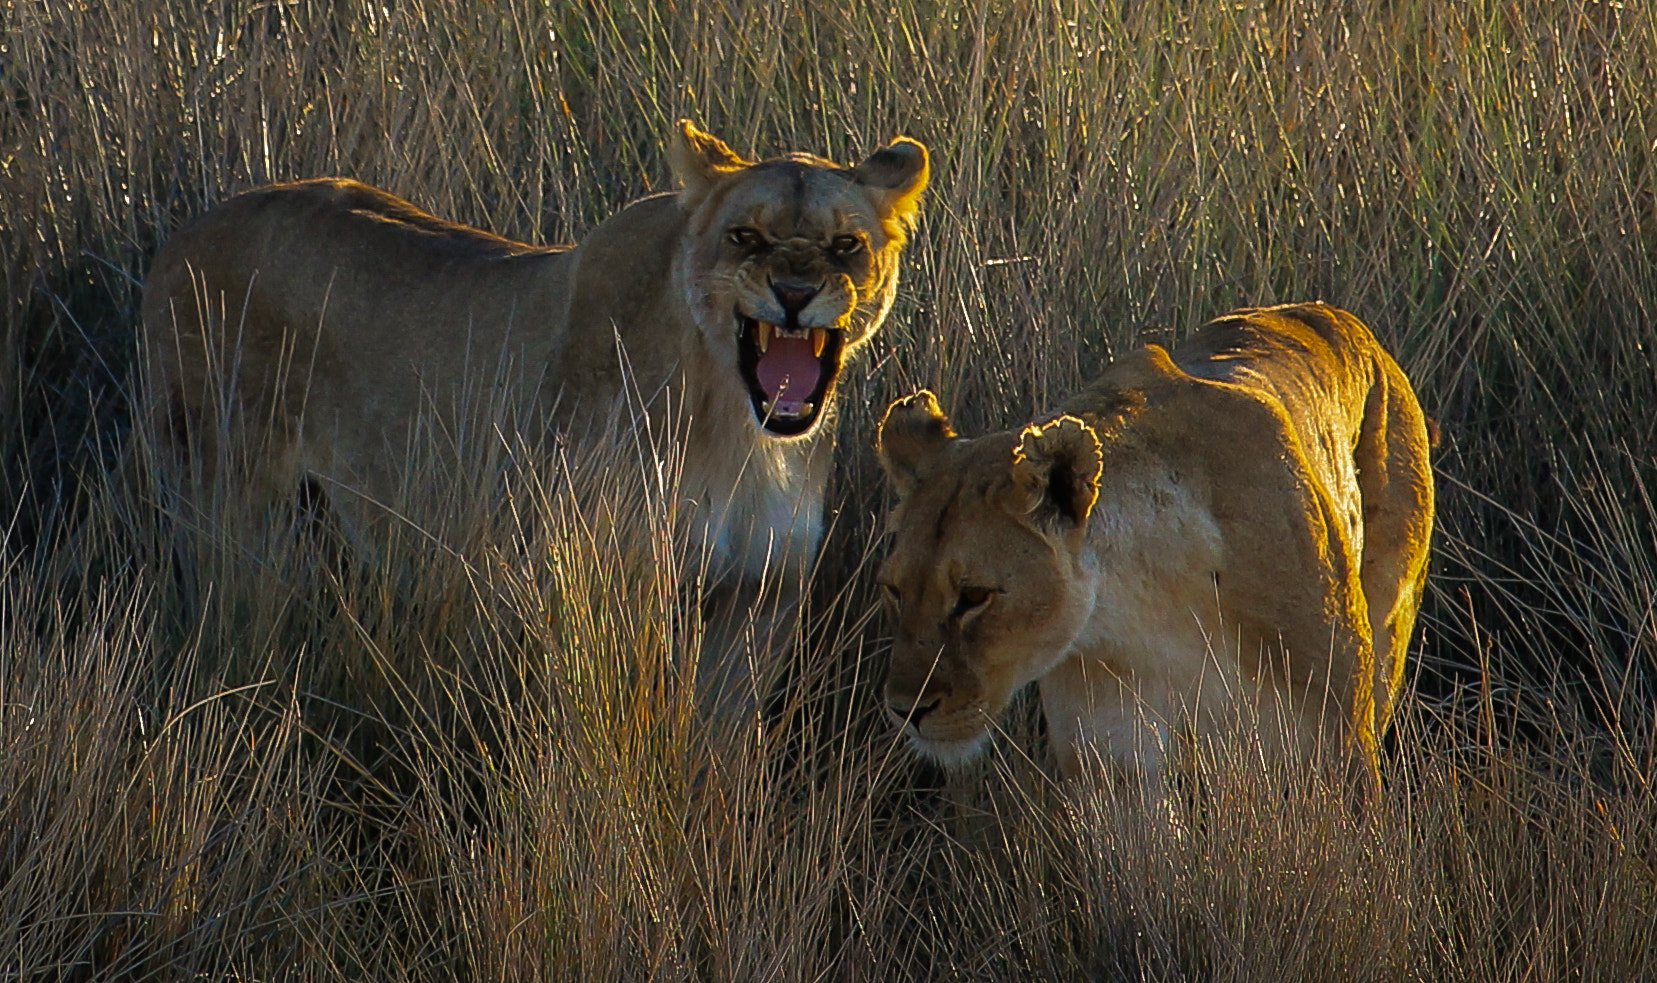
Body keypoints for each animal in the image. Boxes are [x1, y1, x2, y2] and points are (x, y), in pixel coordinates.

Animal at [141, 120, 929, 721]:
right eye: (744, 237)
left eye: (846, 245)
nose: (794, 292)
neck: (738, 428)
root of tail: (182, 234)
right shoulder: (613, 580)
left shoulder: (761, 594)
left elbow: (723, 748)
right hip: (228, 502)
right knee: (232, 618)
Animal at [875, 302, 1434, 799]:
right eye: (894, 590)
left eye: (974, 597)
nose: (907, 710)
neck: (1150, 609)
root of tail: (1342, 319)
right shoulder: (1111, 761)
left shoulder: (1337, 746)